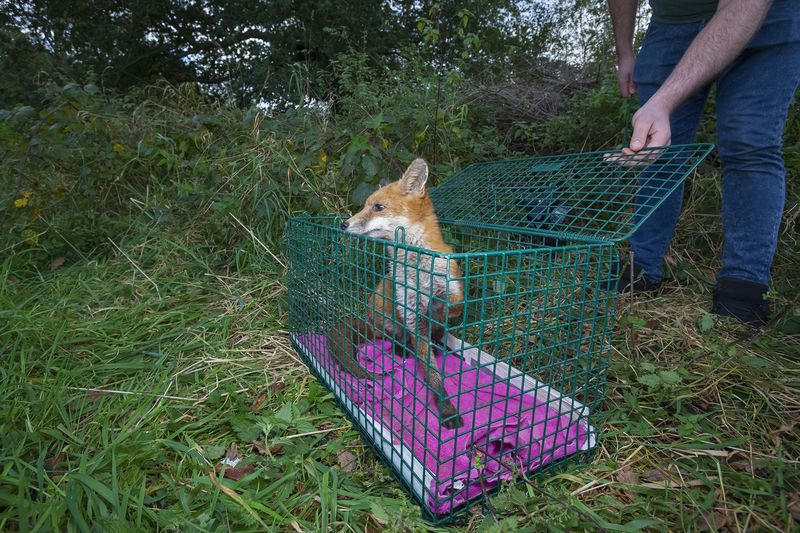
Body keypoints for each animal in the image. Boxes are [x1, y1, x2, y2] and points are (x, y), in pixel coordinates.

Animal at [328, 158, 465, 429]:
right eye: (364, 205)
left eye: (378, 207)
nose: (343, 224)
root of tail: (370, 320)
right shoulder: (410, 314)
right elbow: (433, 375)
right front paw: (446, 410)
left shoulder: (455, 292)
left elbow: (450, 306)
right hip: (386, 311)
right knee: (397, 340)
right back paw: (403, 349)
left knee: (437, 335)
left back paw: (440, 345)